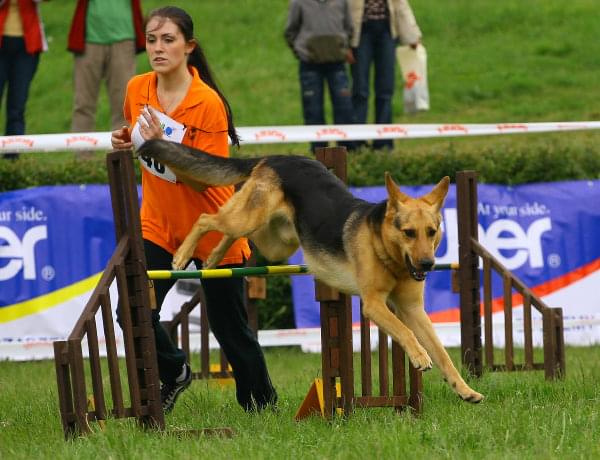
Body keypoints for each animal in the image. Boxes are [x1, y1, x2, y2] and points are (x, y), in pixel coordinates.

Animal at [137, 140, 482, 402]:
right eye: (409, 233)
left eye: (432, 232)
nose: (427, 265)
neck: (385, 249)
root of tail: (276, 157)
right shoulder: (374, 305)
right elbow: (406, 333)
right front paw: (419, 356)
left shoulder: (412, 308)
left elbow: (443, 353)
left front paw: (465, 390)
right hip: (249, 220)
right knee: (207, 218)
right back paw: (183, 255)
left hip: (276, 241)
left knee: (233, 235)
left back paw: (212, 259)